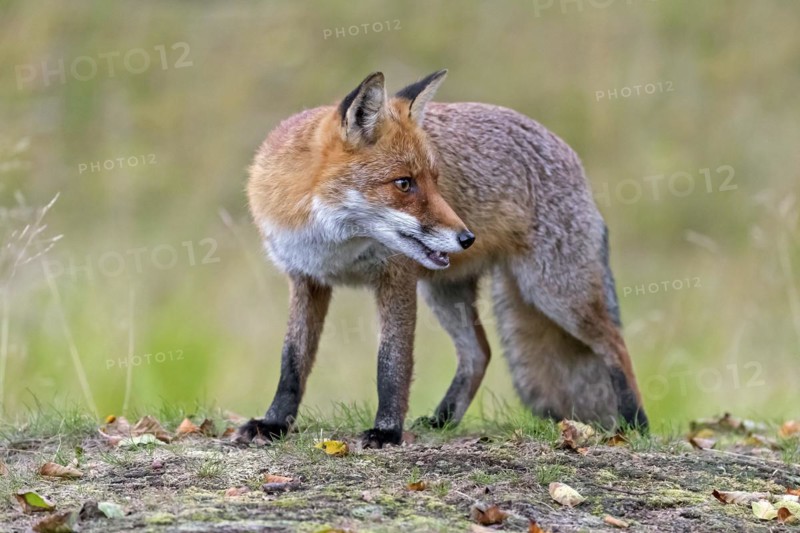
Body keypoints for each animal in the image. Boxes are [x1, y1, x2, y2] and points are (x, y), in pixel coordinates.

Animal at [236, 69, 648, 448]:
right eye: (404, 183)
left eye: (435, 180)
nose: (466, 237)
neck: (334, 245)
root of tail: (566, 150)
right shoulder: (306, 278)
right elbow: (292, 361)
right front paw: (274, 423)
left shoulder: (396, 279)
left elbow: (392, 363)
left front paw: (387, 431)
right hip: (446, 292)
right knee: (479, 353)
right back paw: (443, 420)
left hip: (553, 292)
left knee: (614, 344)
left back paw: (634, 424)